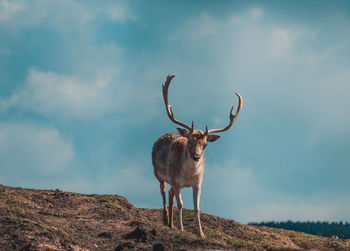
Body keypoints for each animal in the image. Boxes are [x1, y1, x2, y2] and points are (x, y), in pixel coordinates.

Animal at [152, 74, 242, 237]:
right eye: (189, 141)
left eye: (205, 144)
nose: (196, 156)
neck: (188, 176)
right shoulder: (176, 181)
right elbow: (181, 204)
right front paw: (182, 229)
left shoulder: (198, 183)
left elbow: (197, 208)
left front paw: (201, 233)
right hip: (158, 174)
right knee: (163, 192)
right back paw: (165, 220)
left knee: (170, 193)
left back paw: (171, 224)